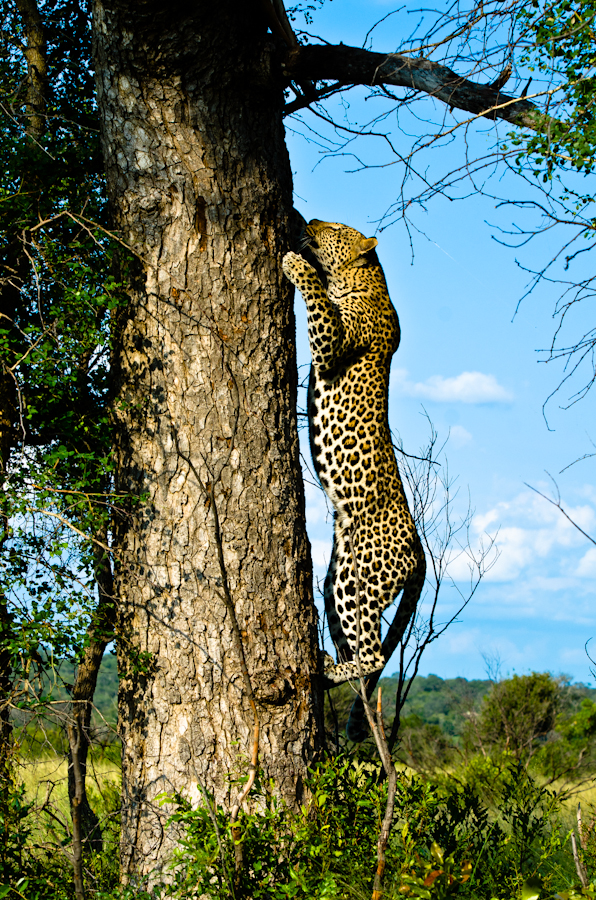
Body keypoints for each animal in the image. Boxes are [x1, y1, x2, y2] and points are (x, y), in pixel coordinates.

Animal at [282, 219, 426, 742]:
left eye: (339, 228)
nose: (312, 220)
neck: (367, 280)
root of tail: (420, 550)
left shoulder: (332, 342)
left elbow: (318, 301)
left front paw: (295, 262)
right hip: (334, 577)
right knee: (362, 655)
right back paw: (330, 669)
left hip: (356, 576)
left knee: (375, 653)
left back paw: (328, 671)